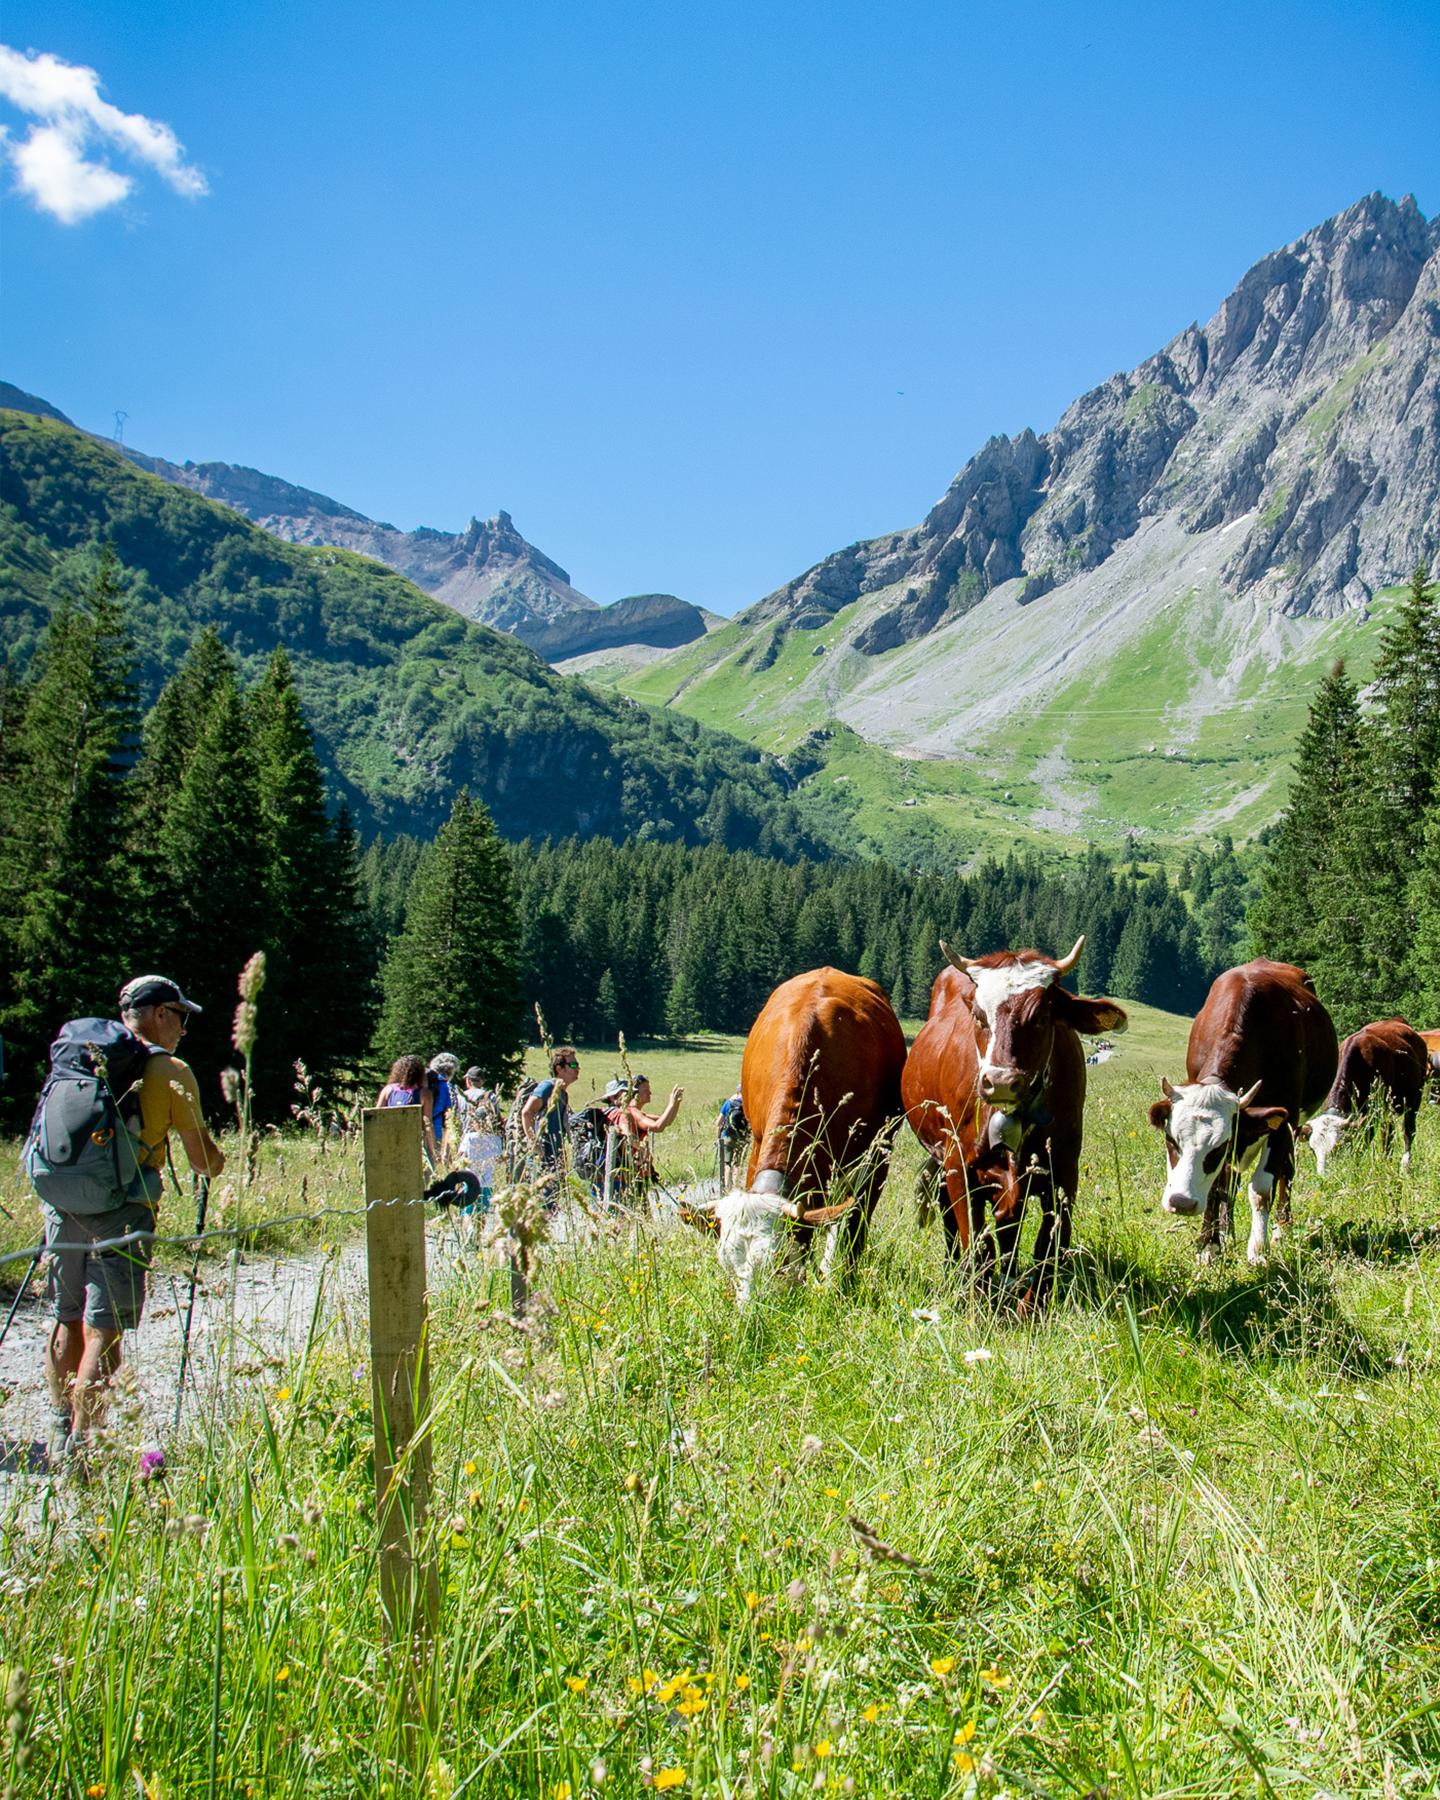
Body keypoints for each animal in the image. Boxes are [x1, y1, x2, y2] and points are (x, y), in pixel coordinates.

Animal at [694, 972, 900, 1310]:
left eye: (778, 1263)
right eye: (727, 1263)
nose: (748, 1314)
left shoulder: (863, 1157)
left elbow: (848, 1223)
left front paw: (836, 1283)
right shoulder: (758, 1141)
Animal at [907, 943, 1130, 1310]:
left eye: (1040, 1018)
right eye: (978, 1017)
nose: (1000, 1082)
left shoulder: (1064, 1170)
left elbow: (1049, 1244)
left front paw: (1032, 1307)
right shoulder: (959, 1165)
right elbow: (976, 1243)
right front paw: (978, 1305)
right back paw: (955, 1275)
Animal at [1144, 957, 1339, 1267]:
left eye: (1217, 1148)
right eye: (1170, 1140)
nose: (1181, 1202)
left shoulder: (1281, 1121)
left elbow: (1261, 1189)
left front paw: (1258, 1250)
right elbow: (1218, 1186)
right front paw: (1209, 1245)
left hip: (1293, 1126)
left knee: (1287, 1172)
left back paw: (1282, 1227)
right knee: (1231, 1180)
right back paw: (1227, 1231)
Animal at [1296, 1022, 1432, 1173]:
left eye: (1338, 1147)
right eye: (1312, 1149)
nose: (1322, 1174)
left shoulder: (1374, 1114)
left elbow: (1364, 1143)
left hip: (1413, 1099)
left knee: (1406, 1131)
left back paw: (1405, 1163)